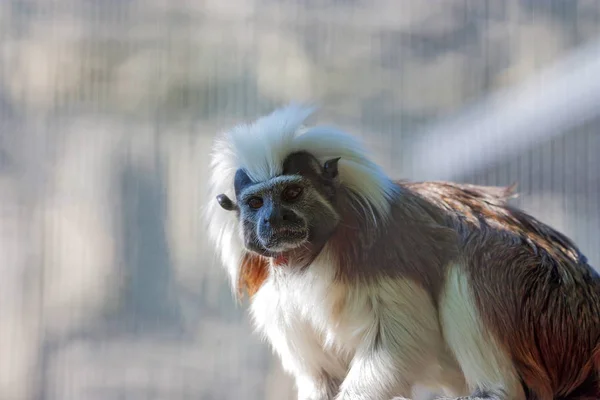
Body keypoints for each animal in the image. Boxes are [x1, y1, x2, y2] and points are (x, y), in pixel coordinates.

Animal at [205, 104, 600, 398]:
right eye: (255, 203)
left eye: (291, 193)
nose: (273, 220)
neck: (312, 256)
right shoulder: (273, 295)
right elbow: (322, 377)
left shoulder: (386, 250)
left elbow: (396, 346)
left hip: (552, 311)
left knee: (475, 253)